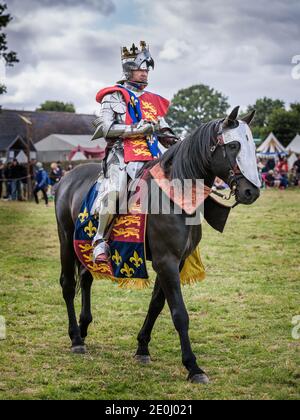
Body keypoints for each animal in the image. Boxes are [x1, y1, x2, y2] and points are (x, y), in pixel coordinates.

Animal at [55, 107, 260, 384]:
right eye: (234, 145)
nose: (252, 192)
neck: (175, 193)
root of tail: (65, 179)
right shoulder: (166, 261)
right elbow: (179, 313)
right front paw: (193, 367)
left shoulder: (176, 261)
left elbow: (156, 305)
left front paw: (142, 348)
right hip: (66, 239)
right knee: (67, 284)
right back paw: (76, 338)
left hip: (82, 245)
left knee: (86, 278)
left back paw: (84, 327)